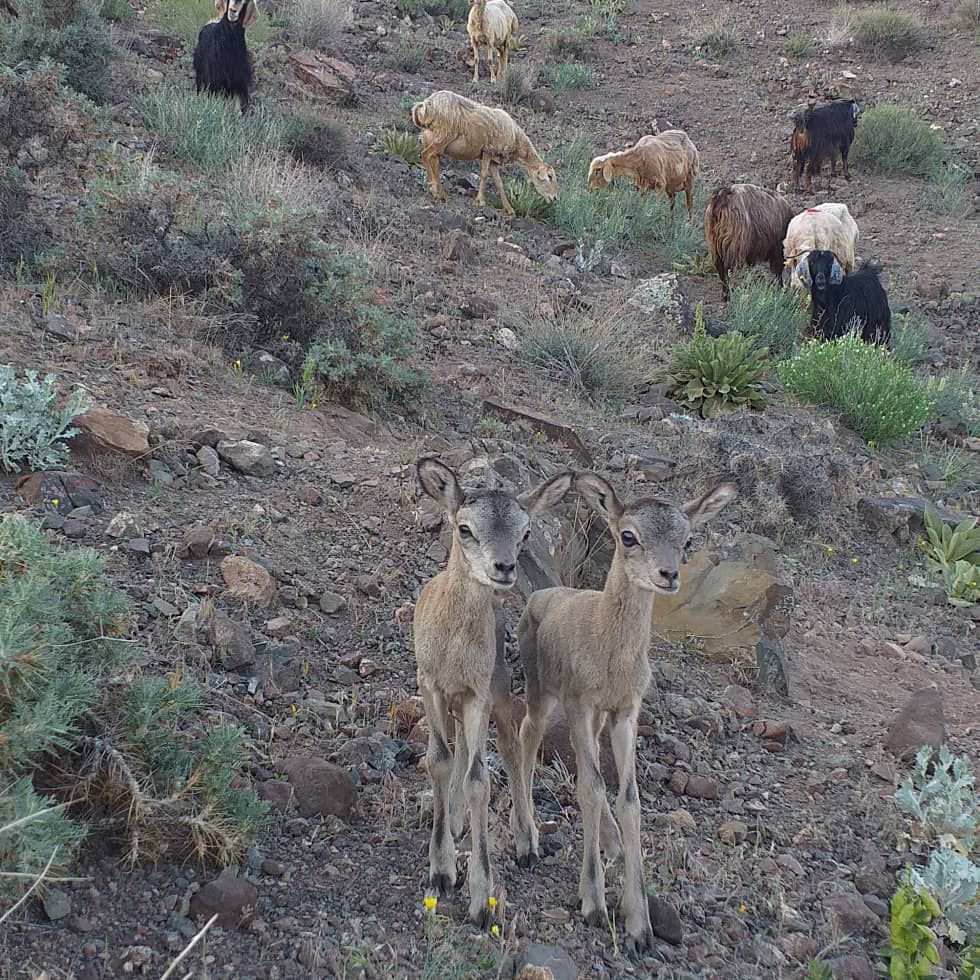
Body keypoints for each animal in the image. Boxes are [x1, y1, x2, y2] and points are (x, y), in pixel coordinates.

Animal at [410, 89, 556, 214]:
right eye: (549, 176)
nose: (554, 198)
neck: (516, 139)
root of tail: (426, 104)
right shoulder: (488, 151)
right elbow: (484, 175)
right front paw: (480, 200)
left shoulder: (494, 160)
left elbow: (499, 183)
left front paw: (509, 209)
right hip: (443, 135)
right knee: (425, 155)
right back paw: (439, 193)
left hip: (429, 136)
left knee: (432, 159)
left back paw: (434, 189)